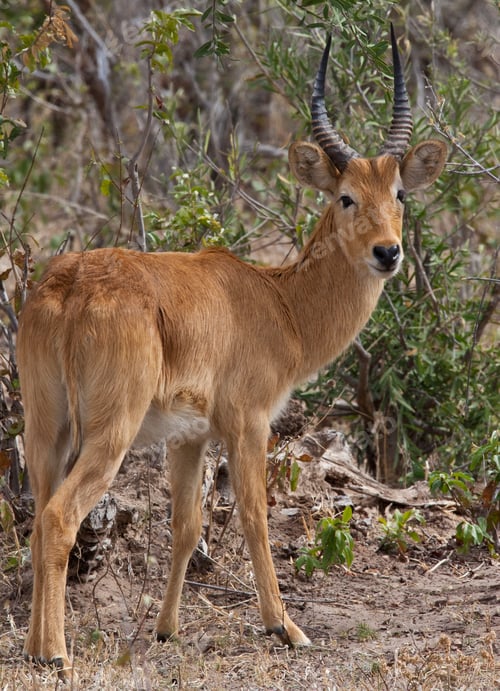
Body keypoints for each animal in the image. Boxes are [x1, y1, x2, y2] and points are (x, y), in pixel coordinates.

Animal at [17, 26, 446, 675]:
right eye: (346, 196)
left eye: (398, 191)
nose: (388, 252)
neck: (278, 302)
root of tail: (69, 286)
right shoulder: (249, 422)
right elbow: (253, 515)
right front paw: (286, 627)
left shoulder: (188, 436)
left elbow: (186, 527)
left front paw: (166, 630)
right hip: (110, 432)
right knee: (60, 516)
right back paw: (58, 655)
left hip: (48, 428)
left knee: (40, 517)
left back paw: (36, 648)